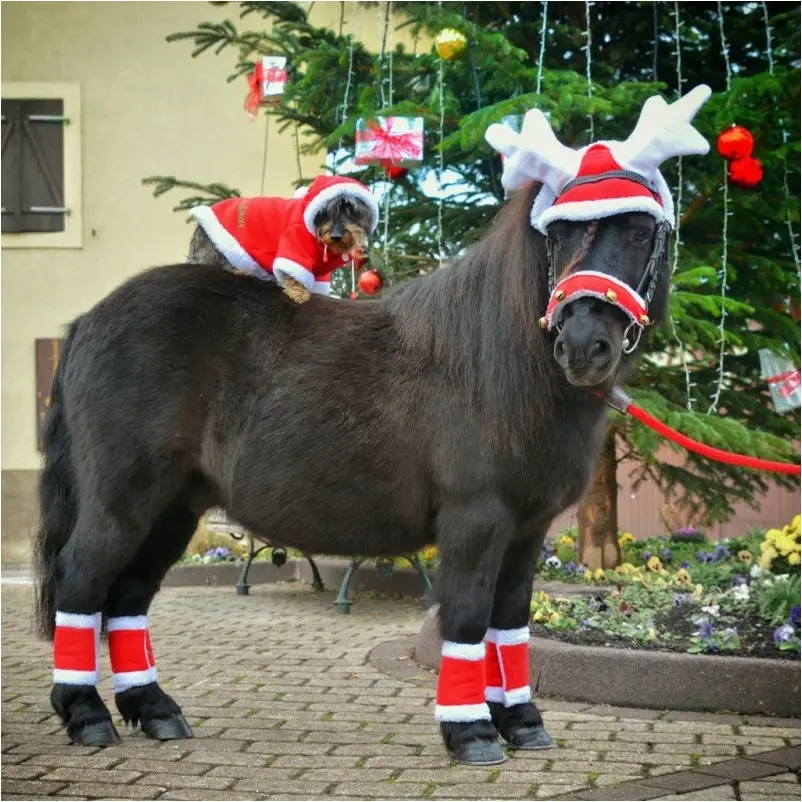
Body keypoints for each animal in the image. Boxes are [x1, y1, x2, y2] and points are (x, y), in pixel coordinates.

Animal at [188, 173, 378, 302]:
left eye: (352, 211)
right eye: (324, 213)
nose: (336, 236)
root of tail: (199, 228)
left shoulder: (320, 273)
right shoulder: (294, 244)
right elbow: (293, 272)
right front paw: (299, 294)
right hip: (212, 253)